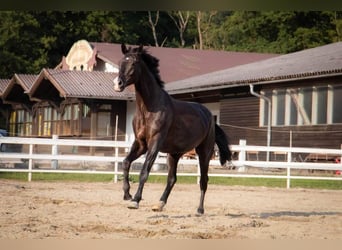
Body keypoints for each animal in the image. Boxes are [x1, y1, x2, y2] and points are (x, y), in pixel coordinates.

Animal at [113, 44, 231, 214]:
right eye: (120, 62)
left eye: (134, 63)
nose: (118, 84)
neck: (150, 107)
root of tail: (209, 115)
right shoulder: (141, 144)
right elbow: (125, 162)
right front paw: (127, 194)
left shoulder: (155, 143)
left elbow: (144, 171)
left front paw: (135, 200)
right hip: (174, 154)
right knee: (172, 179)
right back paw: (159, 204)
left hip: (204, 152)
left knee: (204, 179)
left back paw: (200, 210)